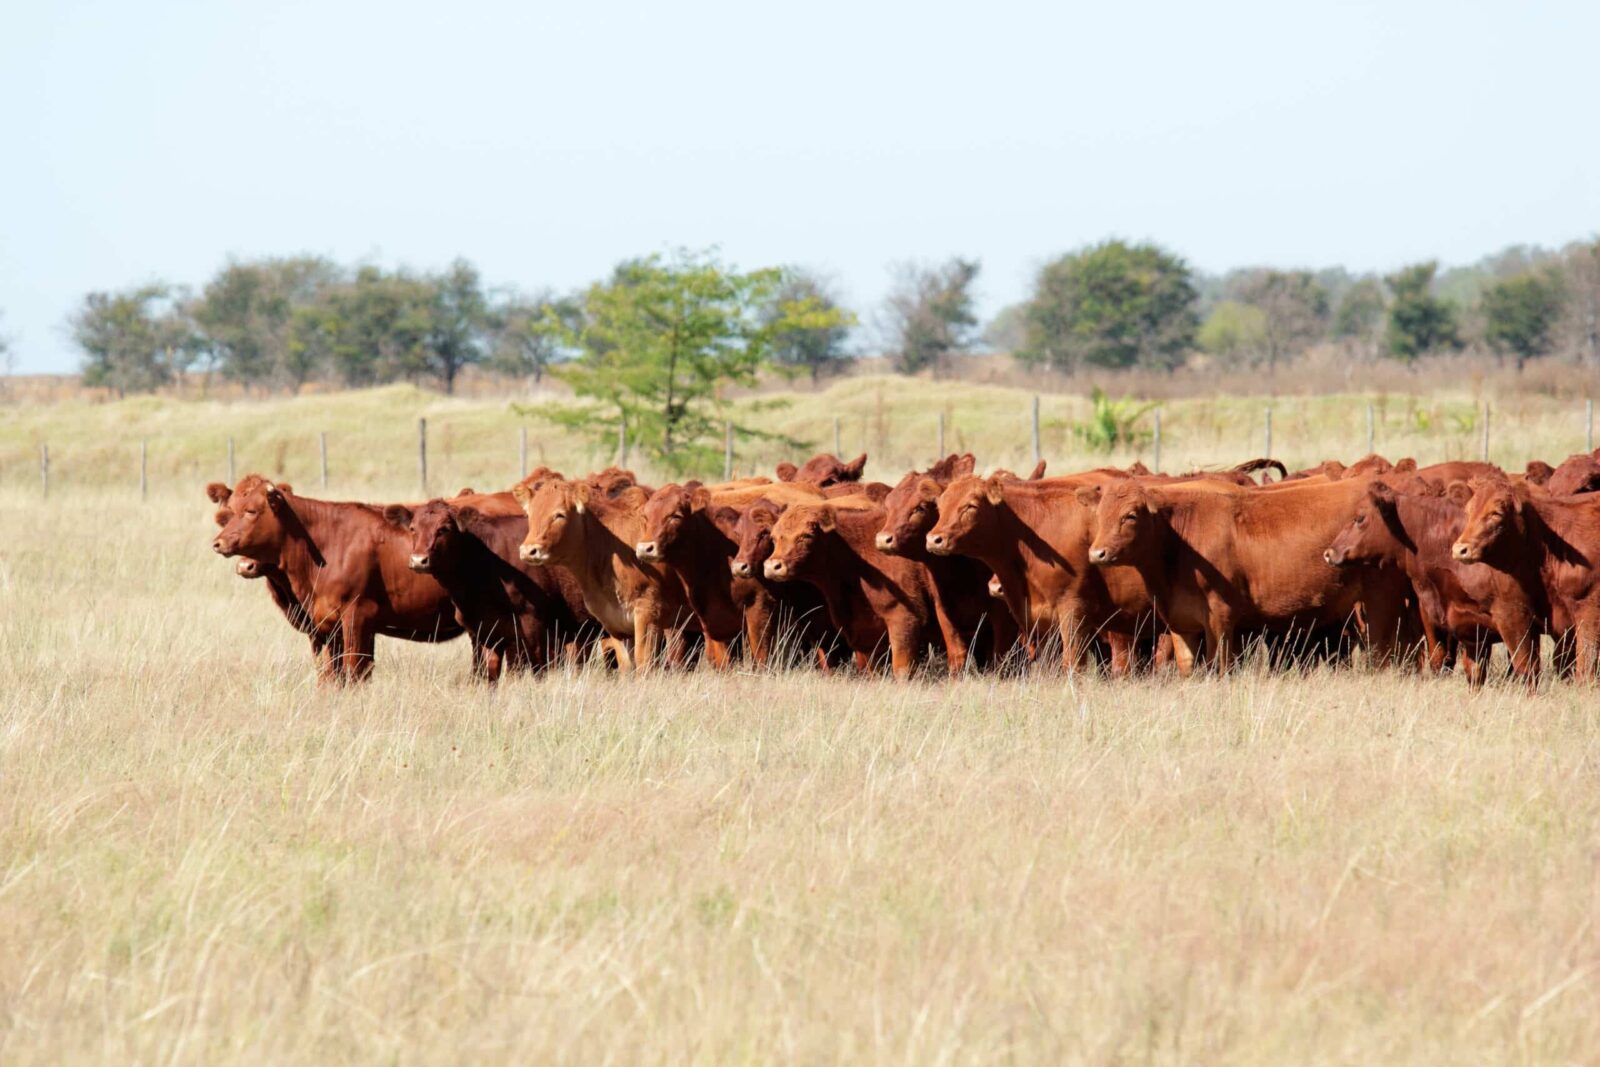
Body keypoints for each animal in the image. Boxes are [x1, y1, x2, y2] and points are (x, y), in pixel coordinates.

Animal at [206, 476, 464, 684]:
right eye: (224, 517)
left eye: (251, 511)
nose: (218, 543)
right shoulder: (325, 626)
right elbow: (330, 675)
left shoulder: (357, 617)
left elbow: (354, 673)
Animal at [1081, 476, 1408, 671]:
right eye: (1099, 515)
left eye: (1130, 516)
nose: (1097, 553)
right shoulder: (1180, 623)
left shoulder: (1221, 618)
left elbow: (1220, 666)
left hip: (1380, 598)